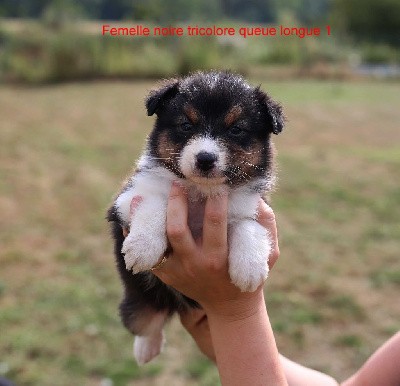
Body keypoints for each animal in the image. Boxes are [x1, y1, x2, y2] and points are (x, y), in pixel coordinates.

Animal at [107, 71, 284, 364]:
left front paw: (249, 268)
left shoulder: (255, 207)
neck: (201, 192)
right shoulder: (126, 198)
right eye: (186, 125)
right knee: (147, 322)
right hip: (138, 305)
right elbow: (156, 203)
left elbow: (248, 226)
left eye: (236, 129)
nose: (205, 159)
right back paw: (145, 349)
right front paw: (143, 248)